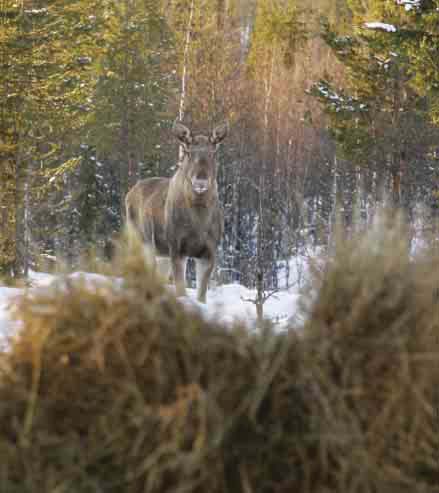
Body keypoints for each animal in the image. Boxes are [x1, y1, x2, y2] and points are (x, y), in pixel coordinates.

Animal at [125, 121, 229, 302]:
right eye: (188, 152)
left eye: (213, 152)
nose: (200, 181)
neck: (199, 221)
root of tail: (129, 193)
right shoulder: (176, 248)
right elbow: (181, 290)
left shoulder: (209, 252)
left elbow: (201, 296)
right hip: (141, 239)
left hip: (161, 254)